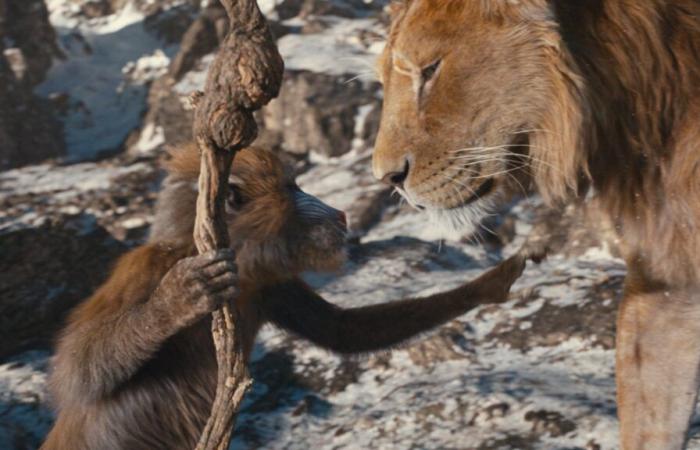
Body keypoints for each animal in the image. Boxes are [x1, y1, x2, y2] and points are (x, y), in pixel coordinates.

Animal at [41, 144, 528, 450]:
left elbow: (343, 332)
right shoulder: (146, 269)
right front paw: (178, 301)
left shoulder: (268, 285)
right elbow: (76, 373)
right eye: (293, 188)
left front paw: (491, 283)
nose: (340, 212)